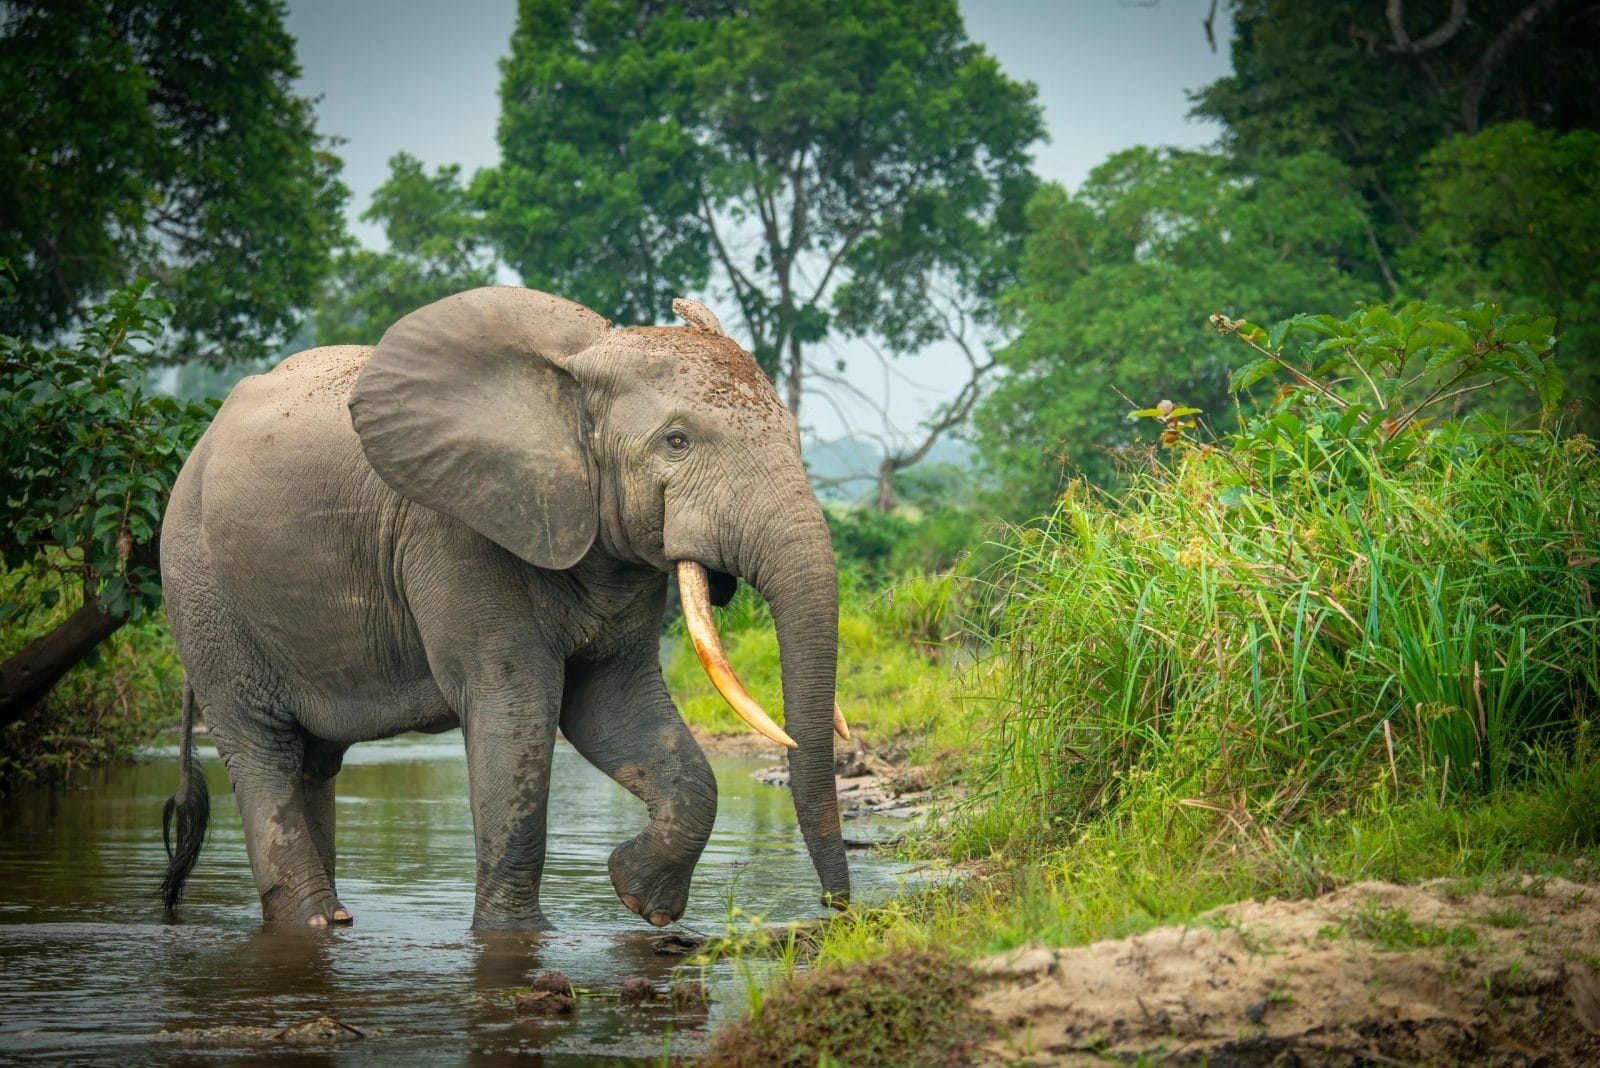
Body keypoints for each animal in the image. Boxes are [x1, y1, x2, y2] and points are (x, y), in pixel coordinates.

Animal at [156, 287, 850, 930]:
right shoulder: (456, 529)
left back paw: (338, 921)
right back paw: (314, 922)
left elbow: (613, 705)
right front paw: (519, 938)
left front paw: (639, 895)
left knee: (314, 759)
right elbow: (518, 709)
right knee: (262, 748)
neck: (579, 367)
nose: (837, 914)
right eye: (676, 442)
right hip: (202, 590)